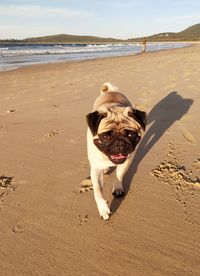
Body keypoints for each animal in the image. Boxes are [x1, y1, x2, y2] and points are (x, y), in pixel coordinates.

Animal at [86, 82, 147, 220]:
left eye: (131, 135)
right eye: (105, 136)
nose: (119, 143)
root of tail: (109, 91)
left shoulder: (126, 161)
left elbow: (119, 175)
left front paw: (118, 187)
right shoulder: (95, 169)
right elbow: (97, 190)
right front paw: (103, 208)